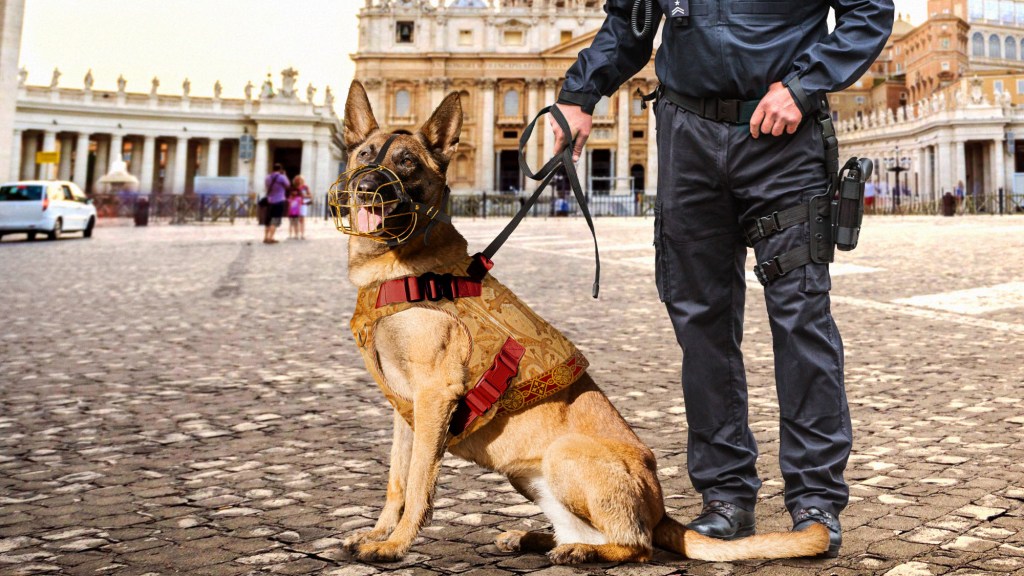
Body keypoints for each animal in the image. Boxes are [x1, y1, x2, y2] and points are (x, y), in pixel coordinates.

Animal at [339, 80, 827, 561]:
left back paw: (583, 552)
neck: (401, 265)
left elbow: (419, 482)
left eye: (406, 162)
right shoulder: (405, 406)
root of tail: (662, 513)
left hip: (564, 453)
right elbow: (397, 479)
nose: (366, 186)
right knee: (582, 531)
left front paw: (396, 545)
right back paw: (538, 540)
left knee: (636, 545)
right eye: (365, 154)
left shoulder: (435, 395)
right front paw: (379, 533)